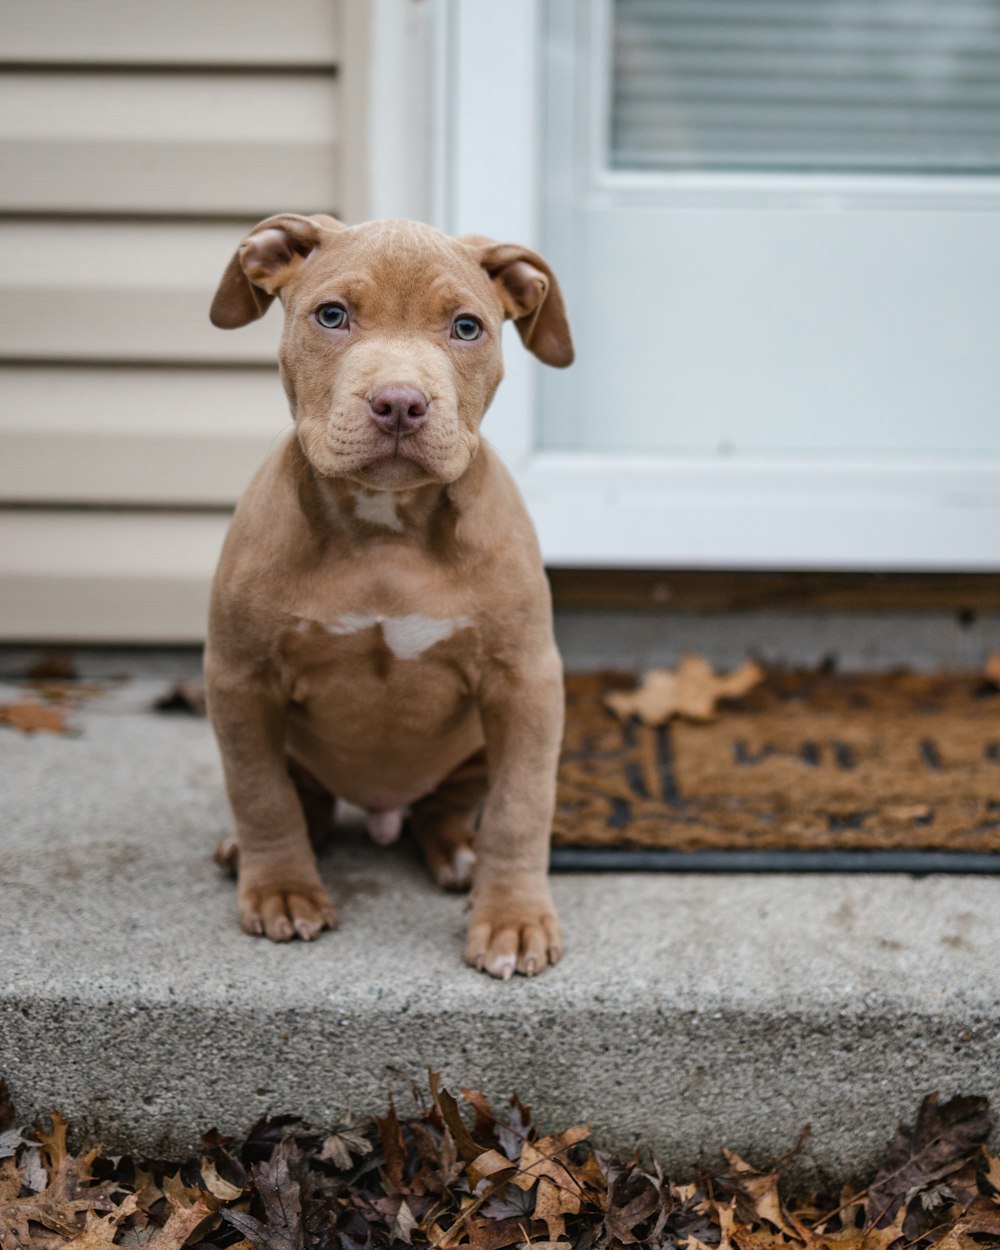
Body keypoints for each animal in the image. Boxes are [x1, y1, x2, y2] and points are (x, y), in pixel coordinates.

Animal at [207, 215, 575, 975]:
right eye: (331, 316)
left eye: (466, 327)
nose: (400, 403)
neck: (386, 529)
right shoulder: (239, 679)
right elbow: (260, 794)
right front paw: (282, 891)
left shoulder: (525, 683)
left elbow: (522, 808)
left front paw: (514, 919)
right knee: (302, 798)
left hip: (475, 748)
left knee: (448, 808)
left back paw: (461, 854)